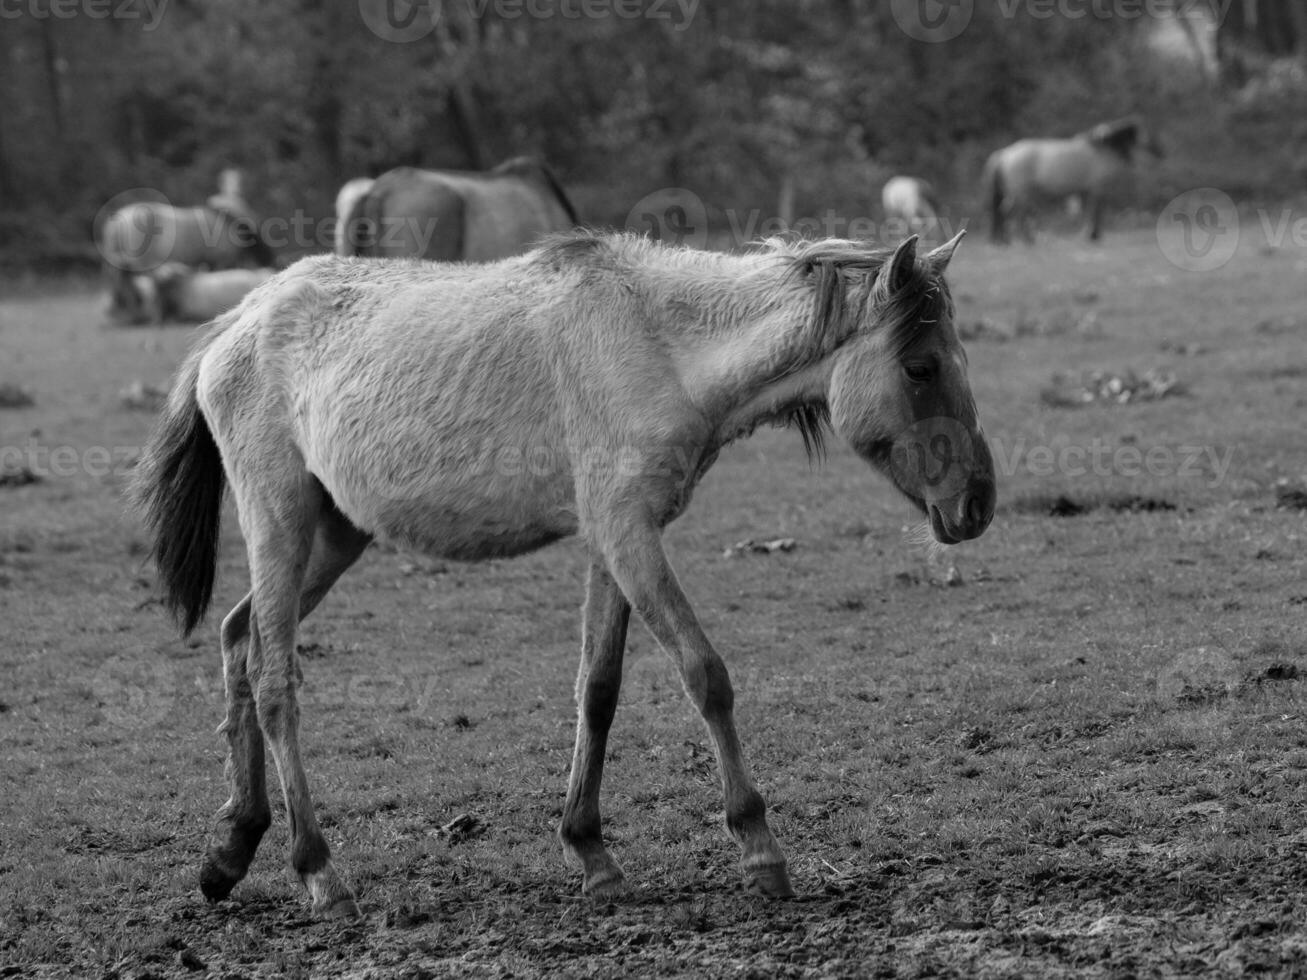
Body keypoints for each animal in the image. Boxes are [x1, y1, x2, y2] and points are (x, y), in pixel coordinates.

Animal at [130, 226, 988, 919]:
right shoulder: (627, 534)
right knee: (274, 678)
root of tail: (237, 322)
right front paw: (758, 848)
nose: (976, 505)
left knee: (238, 638)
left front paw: (591, 853)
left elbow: (597, 690)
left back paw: (231, 851)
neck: (658, 342)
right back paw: (318, 871)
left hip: (335, 536)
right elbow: (704, 674)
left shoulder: (613, 541)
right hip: (279, 520)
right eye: (919, 367)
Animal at [982, 116, 1160, 244]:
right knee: (1015, 213)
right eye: (1146, 136)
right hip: (1021, 194)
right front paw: (1094, 235)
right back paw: (1024, 240)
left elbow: (1089, 212)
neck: (1101, 150)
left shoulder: (1086, 190)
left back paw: (1008, 240)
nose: (1160, 152)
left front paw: (1090, 234)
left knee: (1006, 212)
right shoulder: (1097, 188)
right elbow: (1096, 211)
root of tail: (1004, 153)